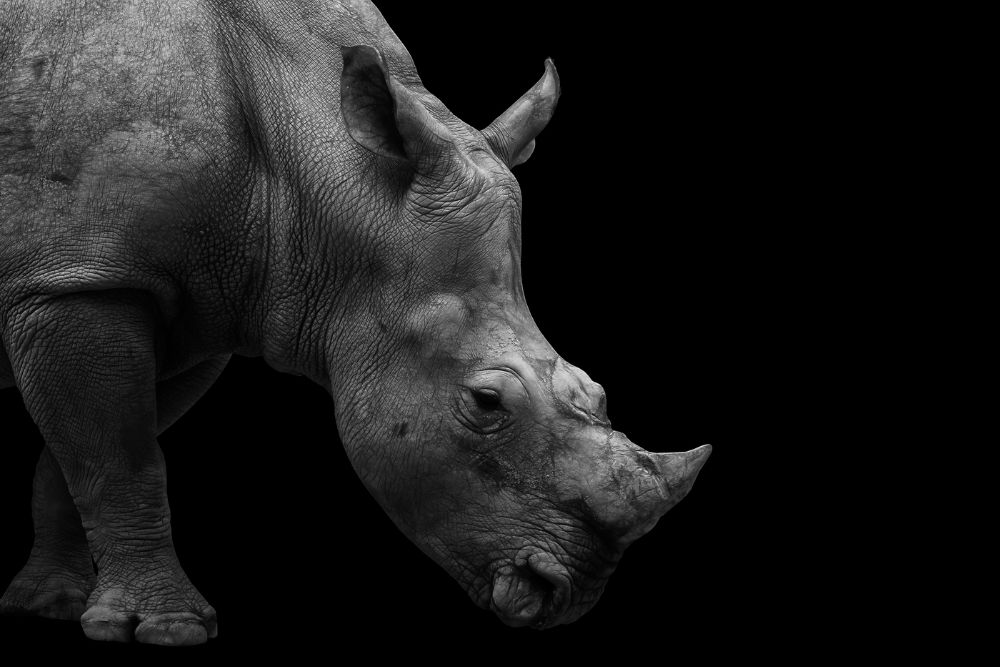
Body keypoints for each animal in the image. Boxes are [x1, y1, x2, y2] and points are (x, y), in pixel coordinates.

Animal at [0, 0, 711, 645]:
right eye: (486, 403)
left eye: (597, 389)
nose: (567, 596)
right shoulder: (80, 279)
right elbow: (122, 459)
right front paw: (166, 628)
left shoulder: (182, 303)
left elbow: (84, 455)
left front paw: (48, 606)